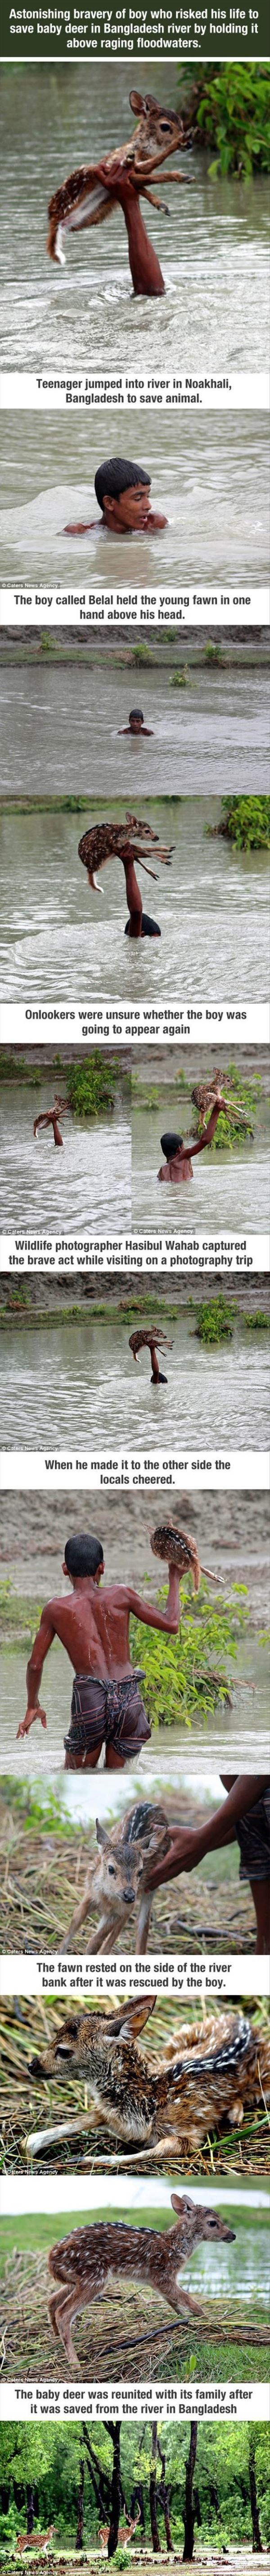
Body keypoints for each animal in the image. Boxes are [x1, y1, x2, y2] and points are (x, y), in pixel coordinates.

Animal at [27, 1999, 269, 2168]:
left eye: (64, 2051)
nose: (32, 2065)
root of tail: (245, 2021)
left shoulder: (187, 2133)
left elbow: (155, 2151)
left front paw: (82, 2159)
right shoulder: (111, 2114)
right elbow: (86, 2118)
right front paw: (30, 2146)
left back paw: (234, 2116)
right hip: (176, 2040)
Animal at [46, 89, 194, 297]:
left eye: (181, 121)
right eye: (165, 126)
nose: (189, 144)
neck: (140, 150)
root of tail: (55, 220)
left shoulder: (132, 175)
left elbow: (146, 181)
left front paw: (162, 204)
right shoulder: (117, 167)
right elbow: (151, 172)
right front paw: (180, 176)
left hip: (97, 213)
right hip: (85, 174)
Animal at [47, 2193, 236, 2372]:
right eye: (213, 2223)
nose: (233, 2235)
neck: (174, 2248)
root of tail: (52, 2259)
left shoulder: (156, 2282)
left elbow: (175, 2304)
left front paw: (187, 2321)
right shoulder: (163, 2276)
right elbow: (192, 2302)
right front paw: (212, 2324)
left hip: (78, 2279)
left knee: (52, 2301)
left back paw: (55, 2339)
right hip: (94, 2276)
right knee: (63, 2313)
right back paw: (75, 2365)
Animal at [58, 1801, 173, 1955]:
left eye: (141, 1871)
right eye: (111, 1868)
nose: (129, 1895)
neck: (107, 1897)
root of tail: (154, 1804)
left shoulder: (118, 1910)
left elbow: (94, 1943)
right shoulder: (91, 1893)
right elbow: (75, 1920)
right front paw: (60, 1951)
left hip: (152, 1885)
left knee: (142, 1923)